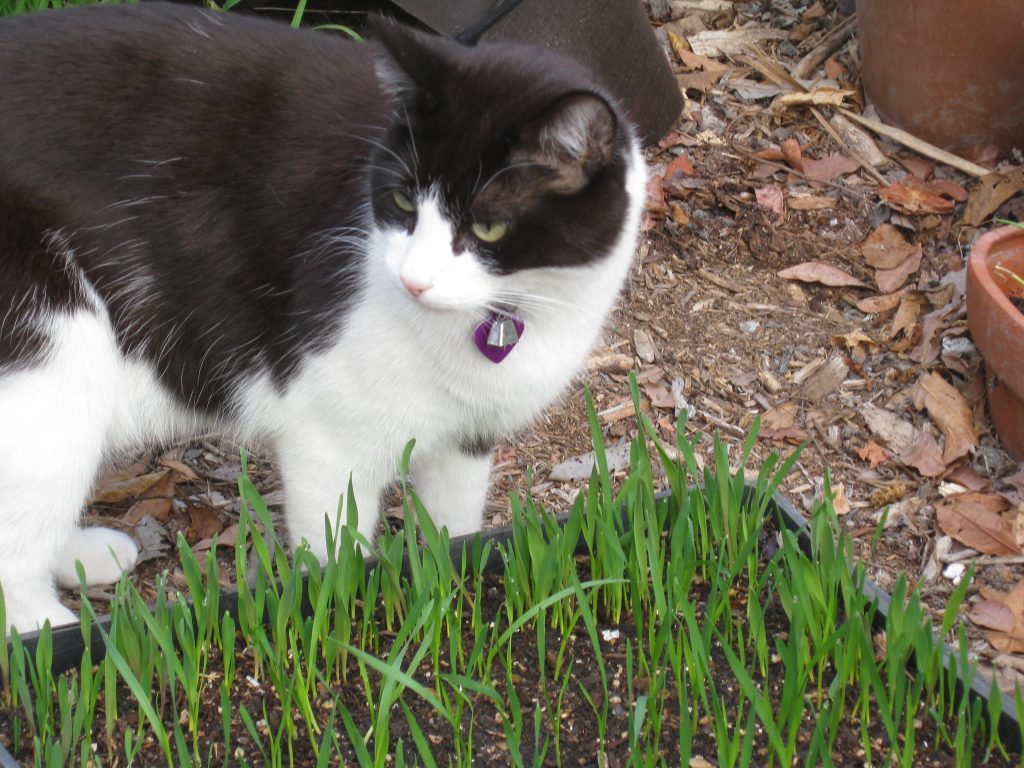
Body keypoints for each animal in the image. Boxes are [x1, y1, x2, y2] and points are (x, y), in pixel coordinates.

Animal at [0, 3, 643, 634]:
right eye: (403, 201)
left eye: (487, 227)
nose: (412, 280)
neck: (505, 314)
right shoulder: (331, 440)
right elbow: (338, 563)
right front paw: (346, 625)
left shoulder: (467, 436)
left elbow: (455, 534)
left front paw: (453, 590)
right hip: (50, 363)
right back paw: (56, 633)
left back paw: (82, 557)